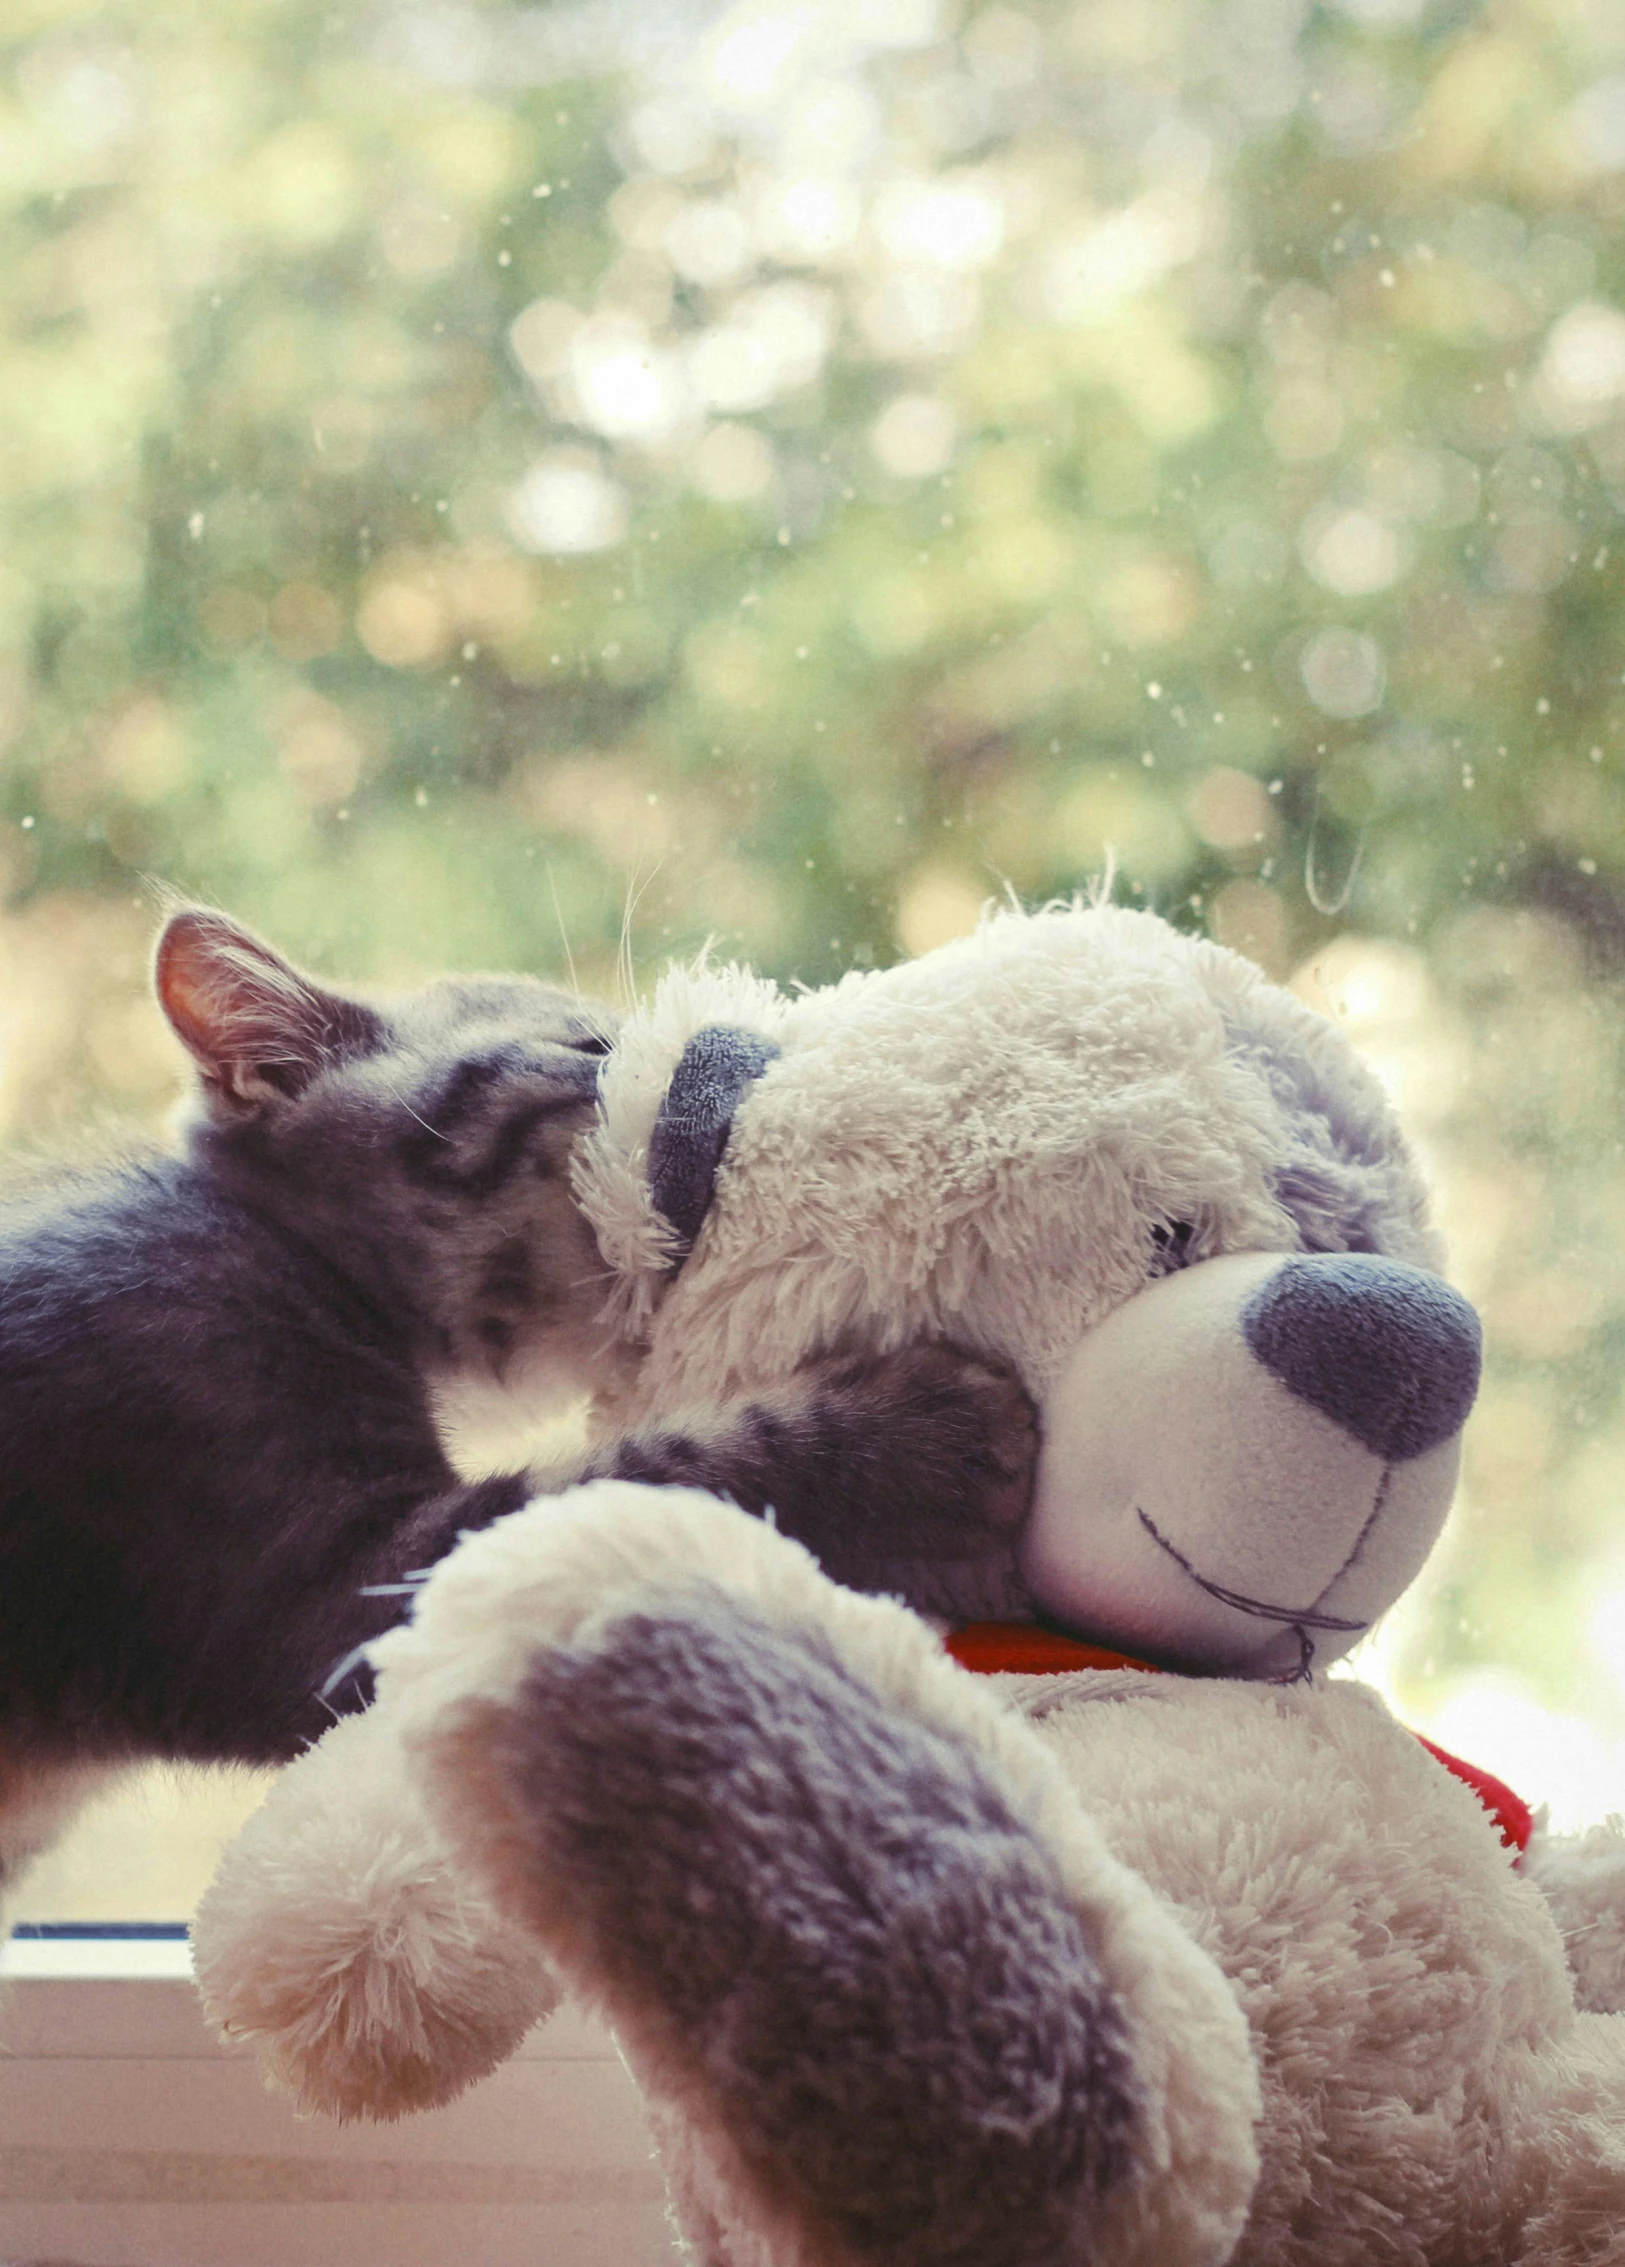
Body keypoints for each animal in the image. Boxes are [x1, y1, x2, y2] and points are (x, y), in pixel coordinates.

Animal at [0, 911, 1033, 1904]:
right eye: (592, 1047)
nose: (738, 1053)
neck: (291, 1256)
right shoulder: (318, 1593)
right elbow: (646, 1485)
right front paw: (911, 1440)